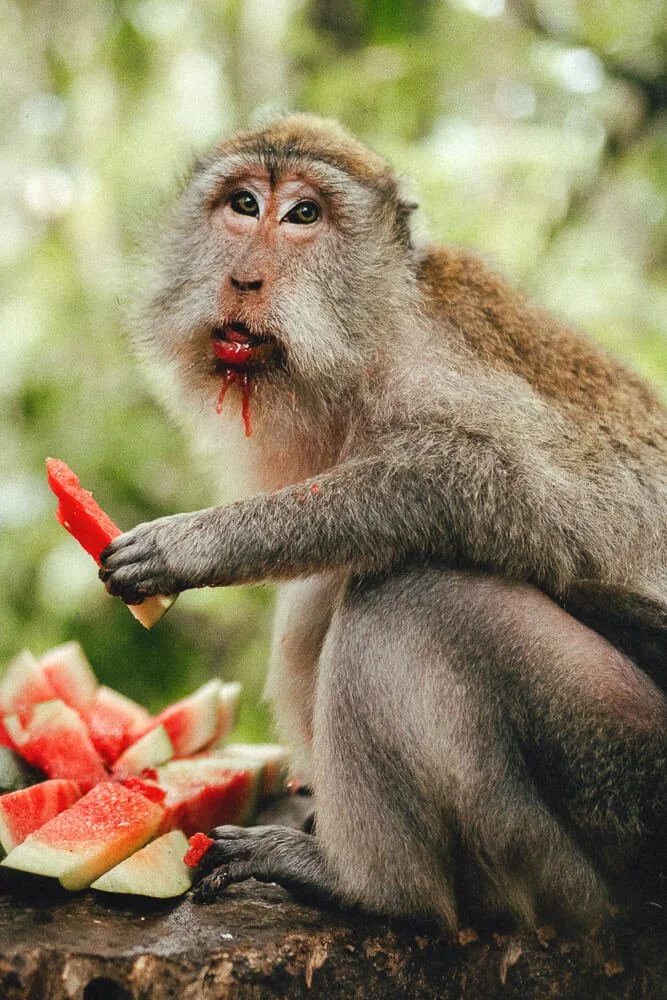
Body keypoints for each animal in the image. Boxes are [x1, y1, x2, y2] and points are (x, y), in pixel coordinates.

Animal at [99, 113, 667, 933]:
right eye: (244, 204)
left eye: (304, 215)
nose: (245, 279)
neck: (370, 328)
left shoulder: (432, 363)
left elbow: (489, 474)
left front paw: (196, 543)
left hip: (612, 784)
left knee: (410, 597)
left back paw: (371, 887)